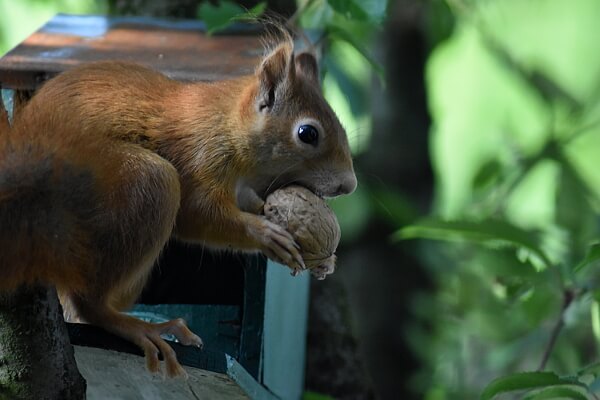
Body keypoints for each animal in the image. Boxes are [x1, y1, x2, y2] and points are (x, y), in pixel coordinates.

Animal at [0, 32, 356, 376]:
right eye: (307, 133)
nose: (349, 185)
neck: (228, 125)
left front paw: (323, 259)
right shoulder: (198, 155)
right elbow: (199, 214)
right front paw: (265, 234)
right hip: (135, 183)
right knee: (87, 303)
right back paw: (141, 327)